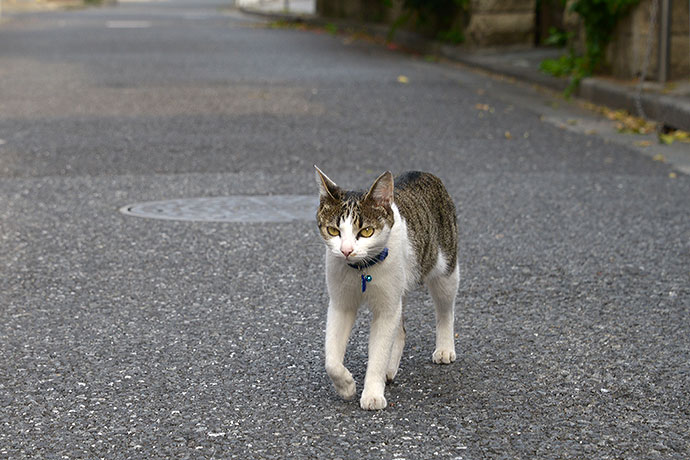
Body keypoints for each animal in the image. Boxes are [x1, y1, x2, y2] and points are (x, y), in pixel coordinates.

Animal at [316, 165, 456, 410]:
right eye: (333, 231)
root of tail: (421, 172)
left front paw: (372, 394)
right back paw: (390, 369)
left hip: (445, 268)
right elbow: (331, 360)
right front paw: (346, 386)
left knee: (445, 309)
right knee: (399, 329)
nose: (346, 250)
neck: (361, 269)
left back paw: (445, 348)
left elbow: (379, 352)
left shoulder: (387, 307)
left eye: (366, 231)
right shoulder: (341, 303)